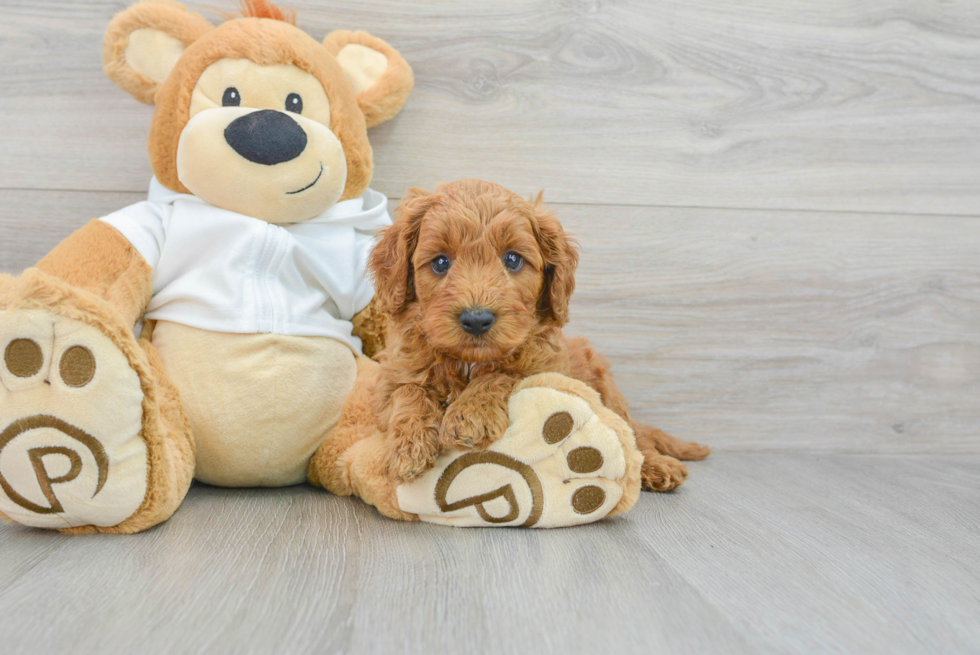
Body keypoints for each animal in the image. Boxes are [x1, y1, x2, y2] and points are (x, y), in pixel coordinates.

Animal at [372, 179, 708, 492]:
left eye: (512, 259)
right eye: (440, 262)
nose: (477, 320)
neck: (468, 361)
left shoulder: (547, 368)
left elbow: (505, 372)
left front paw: (470, 414)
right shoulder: (391, 376)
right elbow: (408, 392)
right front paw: (407, 448)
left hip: (606, 387)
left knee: (632, 433)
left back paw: (657, 465)